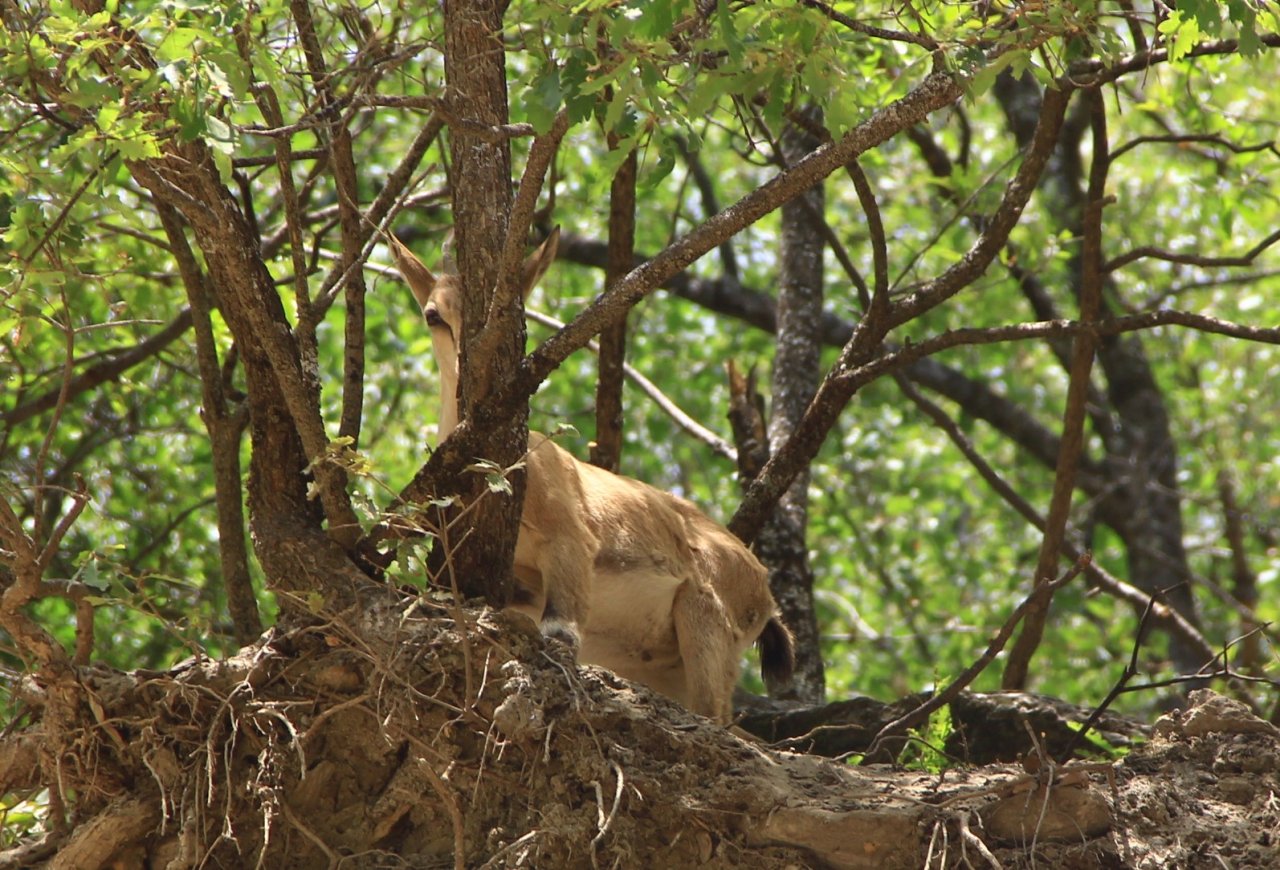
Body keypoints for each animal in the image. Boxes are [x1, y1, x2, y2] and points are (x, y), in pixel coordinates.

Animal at [389, 227, 788, 721]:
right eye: (433, 315)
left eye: (518, 314)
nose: (471, 379)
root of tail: (762, 587)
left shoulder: (571, 540)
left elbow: (562, 635)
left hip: (707, 622)